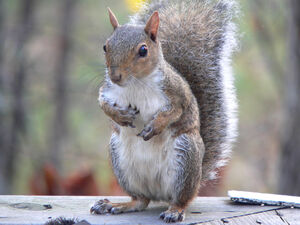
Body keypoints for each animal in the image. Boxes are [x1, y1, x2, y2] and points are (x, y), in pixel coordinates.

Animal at [90, 0, 238, 221]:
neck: (136, 83)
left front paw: (155, 126)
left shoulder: (178, 94)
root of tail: (158, 193)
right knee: (140, 200)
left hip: (185, 157)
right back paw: (118, 204)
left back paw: (174, 211)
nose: (115, 76)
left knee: (182, 199)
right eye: (105, 46)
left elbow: (176, 112)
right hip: (121, 162)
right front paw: (120, 116)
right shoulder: (108, 90)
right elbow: (103, 104)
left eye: (143, 50)